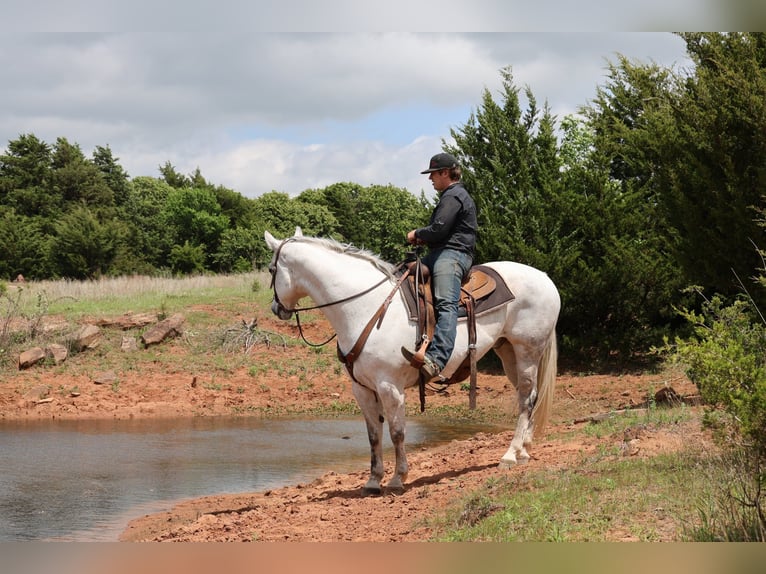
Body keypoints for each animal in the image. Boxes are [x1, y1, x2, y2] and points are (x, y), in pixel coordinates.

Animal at [265, 228, 560, 495]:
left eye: (271, 269)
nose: (277, 309)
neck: (366, 307)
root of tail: (545, 278)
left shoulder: (390, 387)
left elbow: (397, 432)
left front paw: (398, 479)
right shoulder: (362, 389)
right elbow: (373, 435)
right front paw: (373, 481)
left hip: (527, 351)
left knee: (526, 399)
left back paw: (510, 455)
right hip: (508, 351)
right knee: (529, 396)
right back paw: (524, 450)